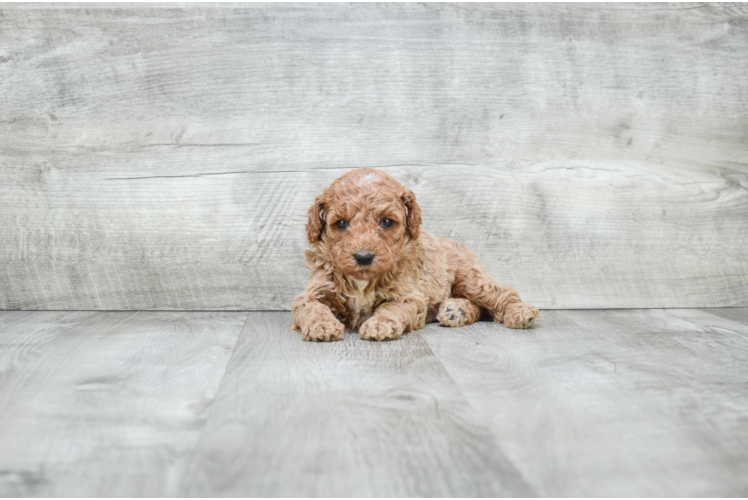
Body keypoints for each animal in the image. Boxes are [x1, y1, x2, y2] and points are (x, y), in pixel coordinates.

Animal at [292, 167, 536, 340]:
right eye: (341, 223)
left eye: (387, 222)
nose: (363, 257)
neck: (363, 283)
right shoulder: (315, 291)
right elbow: (311, 307)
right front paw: (322, 325)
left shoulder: (408, 295)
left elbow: (391, 307)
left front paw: (380, 324)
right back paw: (456, 311)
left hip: (470, 278)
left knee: (501, 294)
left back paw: (521, 312)